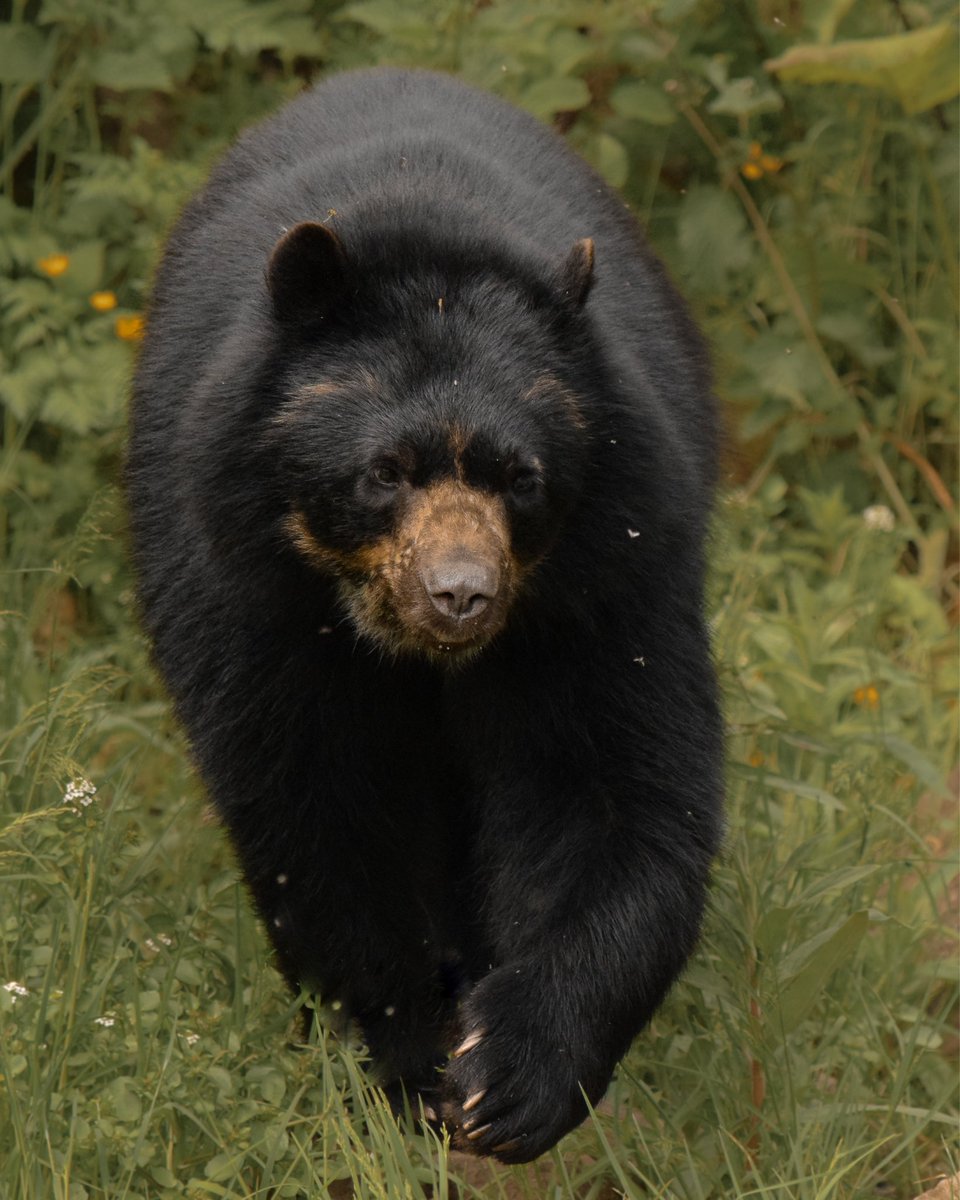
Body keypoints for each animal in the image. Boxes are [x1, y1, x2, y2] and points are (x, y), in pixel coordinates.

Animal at [126, 67, 723, 1164]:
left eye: (522, 477)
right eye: (384, 472)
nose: (461, 593)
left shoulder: (603, 583)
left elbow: (608, 787)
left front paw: (512, 1078)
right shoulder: (251, 596)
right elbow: (314, 806)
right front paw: (404, 1060)